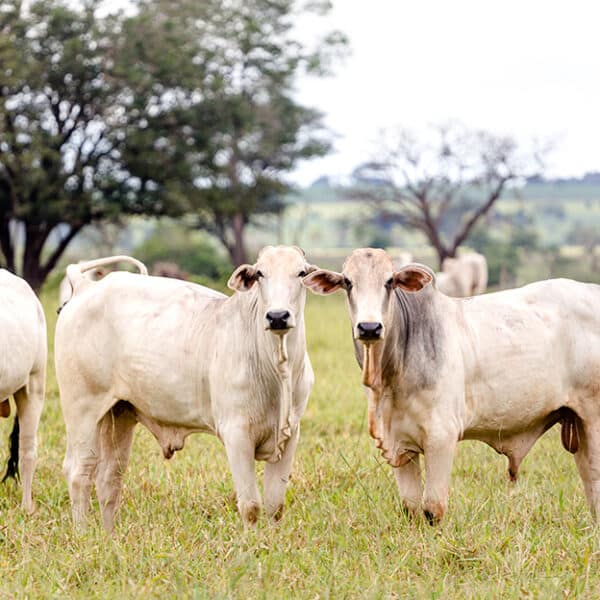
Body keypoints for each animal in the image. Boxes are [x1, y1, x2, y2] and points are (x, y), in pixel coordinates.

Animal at [56, 246, 318, 528]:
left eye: (301, 273)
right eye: (260, 273)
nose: (278, 316)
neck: (278, 370)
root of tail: (85, 287)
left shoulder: (290, 434)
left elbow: (275, 506)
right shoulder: (236, 434)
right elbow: (251, 506)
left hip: (118, 414)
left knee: (109, 478)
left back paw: (109, 534)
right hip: (82, 410)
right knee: (80, 472)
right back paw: (83, 532)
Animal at [308, 246, 600, 524]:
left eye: (389, 281)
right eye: (348, 282)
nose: (369, 327)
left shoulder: (441, 436)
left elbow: (432, 509)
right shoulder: (401, 443)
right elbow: (410, 508)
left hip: (593, 419)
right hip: (578, 423)